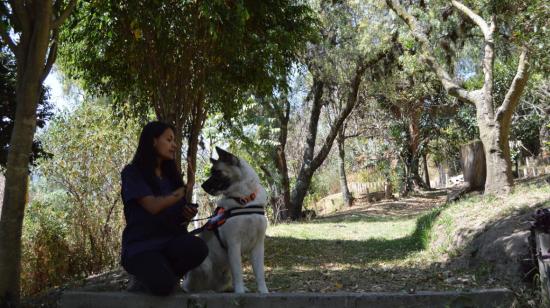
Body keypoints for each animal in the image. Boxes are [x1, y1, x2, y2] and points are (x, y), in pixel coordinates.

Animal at [184, 147, 270, 294]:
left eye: (217, 172)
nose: (202, 186)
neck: (244, 200)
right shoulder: (234, 244)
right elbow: (239, 272)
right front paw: (240, 293)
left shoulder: (258, 246)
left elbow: (259, 274)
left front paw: (264, 292)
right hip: (205, 265)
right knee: (193, 288)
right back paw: (207, 291)